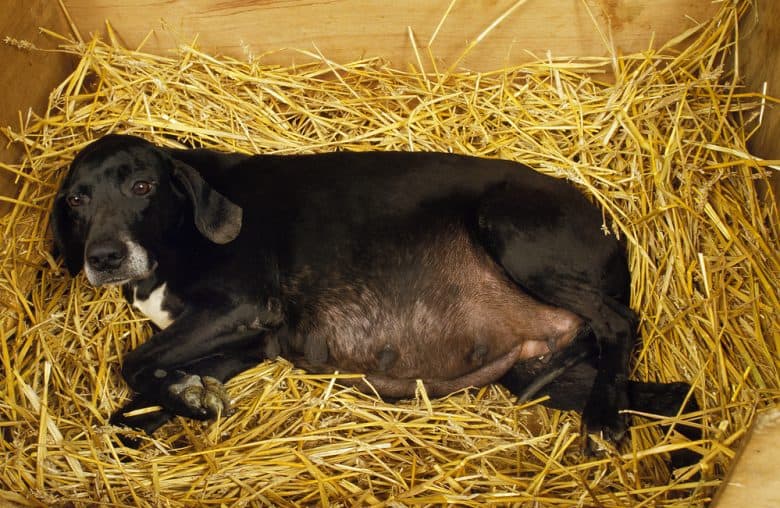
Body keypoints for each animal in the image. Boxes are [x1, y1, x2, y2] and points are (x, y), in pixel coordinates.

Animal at [50, 134, 696, 448]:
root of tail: (611, 228)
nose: (103, 259)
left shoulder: (240, 306)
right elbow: (132, 408)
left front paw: (181, 393)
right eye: (77, 199)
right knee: (677, 396)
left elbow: (133, 362)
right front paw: (188, 398)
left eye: (141, 186)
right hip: (539, 375)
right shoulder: (245, 342)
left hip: (509, 227)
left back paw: (604, 421)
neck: (180, 231)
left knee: (621, 321)